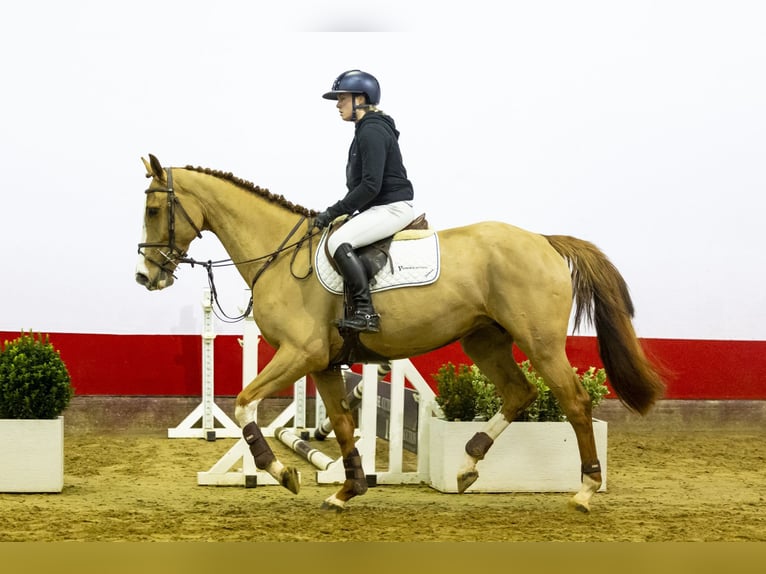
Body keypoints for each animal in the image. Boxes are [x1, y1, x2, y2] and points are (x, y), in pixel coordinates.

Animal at [136, 153, 664, 512]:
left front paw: (282, 471)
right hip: (484, 339)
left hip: (541, 343)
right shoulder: (323, 363)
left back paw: (585, 490)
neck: (280, 256)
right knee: (519, 392)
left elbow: (245, 403)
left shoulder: (300, 353)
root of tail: (544, 241)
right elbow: (342, 425)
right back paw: (467, 466)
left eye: (154, 211)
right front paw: (347, 490)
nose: (145, 277)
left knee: (574, 401)